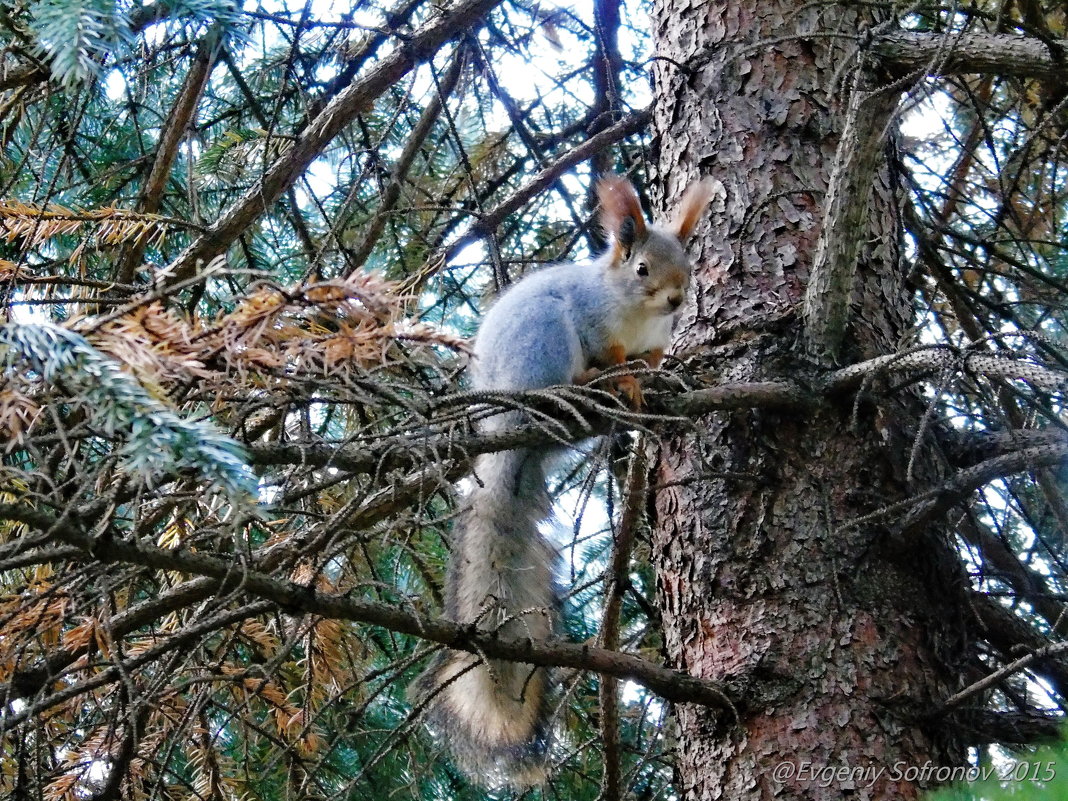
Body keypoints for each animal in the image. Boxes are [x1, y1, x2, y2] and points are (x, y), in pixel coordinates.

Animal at [412, 177, 713, 790]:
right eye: (642, 268)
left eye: (688, 265)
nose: (676, 301)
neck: (632, 308)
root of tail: (507, 425)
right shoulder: (595, 322)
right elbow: (616, 354)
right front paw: (625, 378)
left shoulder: (654, 337)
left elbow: (652, 356)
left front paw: (656, 370)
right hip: (545, 343)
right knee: (568, 373)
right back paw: (586, 382)